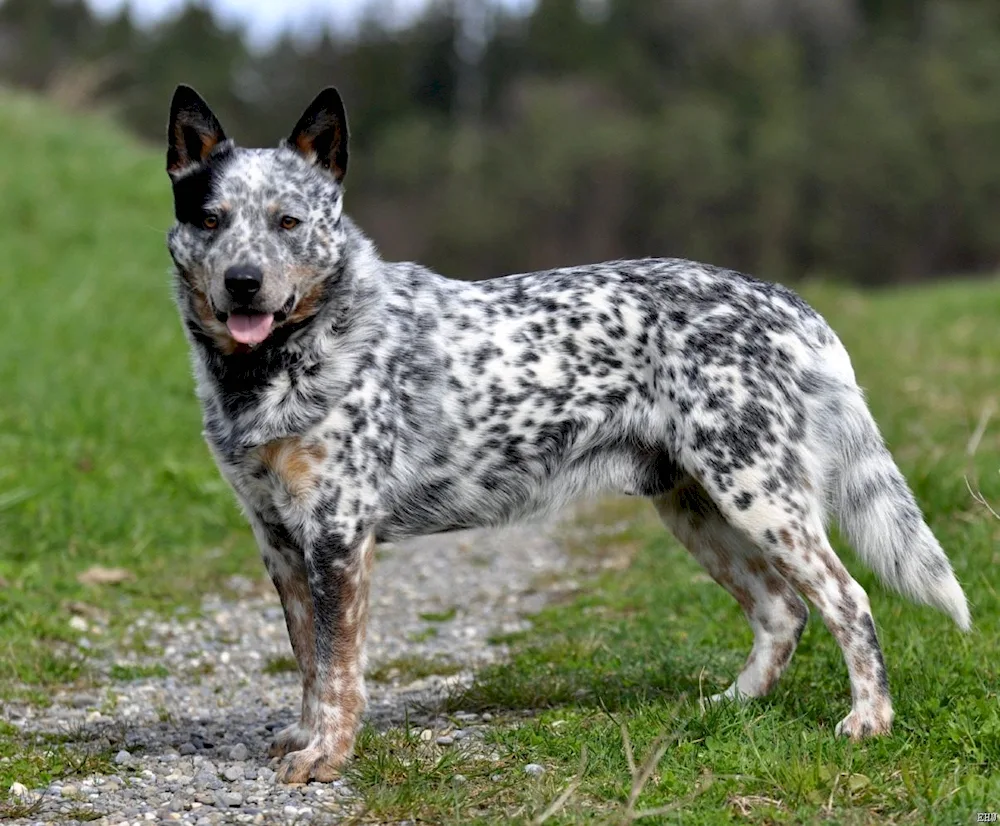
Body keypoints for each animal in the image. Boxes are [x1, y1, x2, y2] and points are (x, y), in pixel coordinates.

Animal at [164, 87, 968, 784]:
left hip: (762, 497)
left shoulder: (337, 534)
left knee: (846, 599)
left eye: (288, 221)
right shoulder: (279, 538)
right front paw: (304, 737)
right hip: (697, 506)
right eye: (211, 220)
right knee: (782, 611)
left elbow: (336, 669)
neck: (284, 359)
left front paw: (326, 755)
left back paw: (869, 720)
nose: (242, 281)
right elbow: (307, 660)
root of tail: (790, 306)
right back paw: (730, 708)